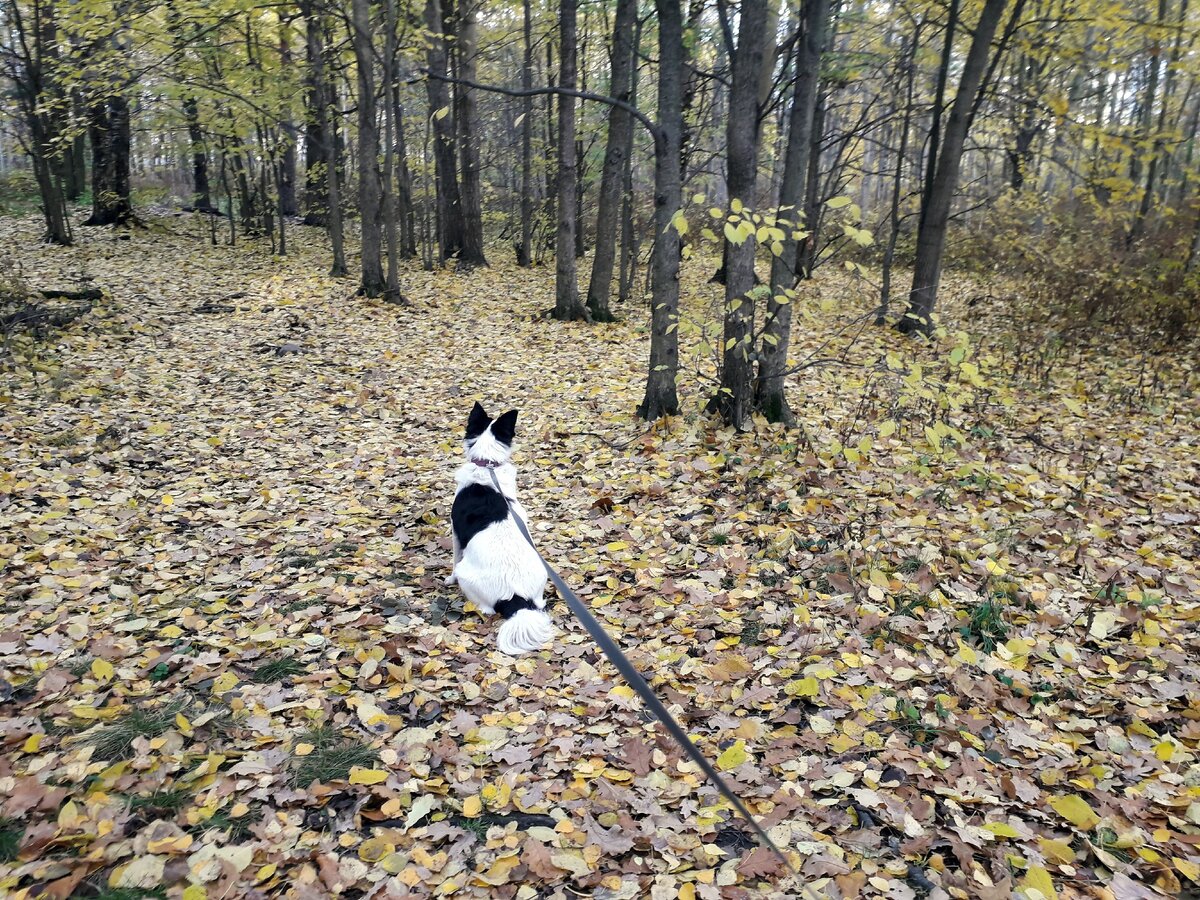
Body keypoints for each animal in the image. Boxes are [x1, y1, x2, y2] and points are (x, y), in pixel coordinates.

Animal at [444, 403, 554, 657]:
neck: (488, 466)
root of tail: (516, 598)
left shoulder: (455, 532)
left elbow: (454, 559)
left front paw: (448, 579)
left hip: (467, 576)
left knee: (486, 609)